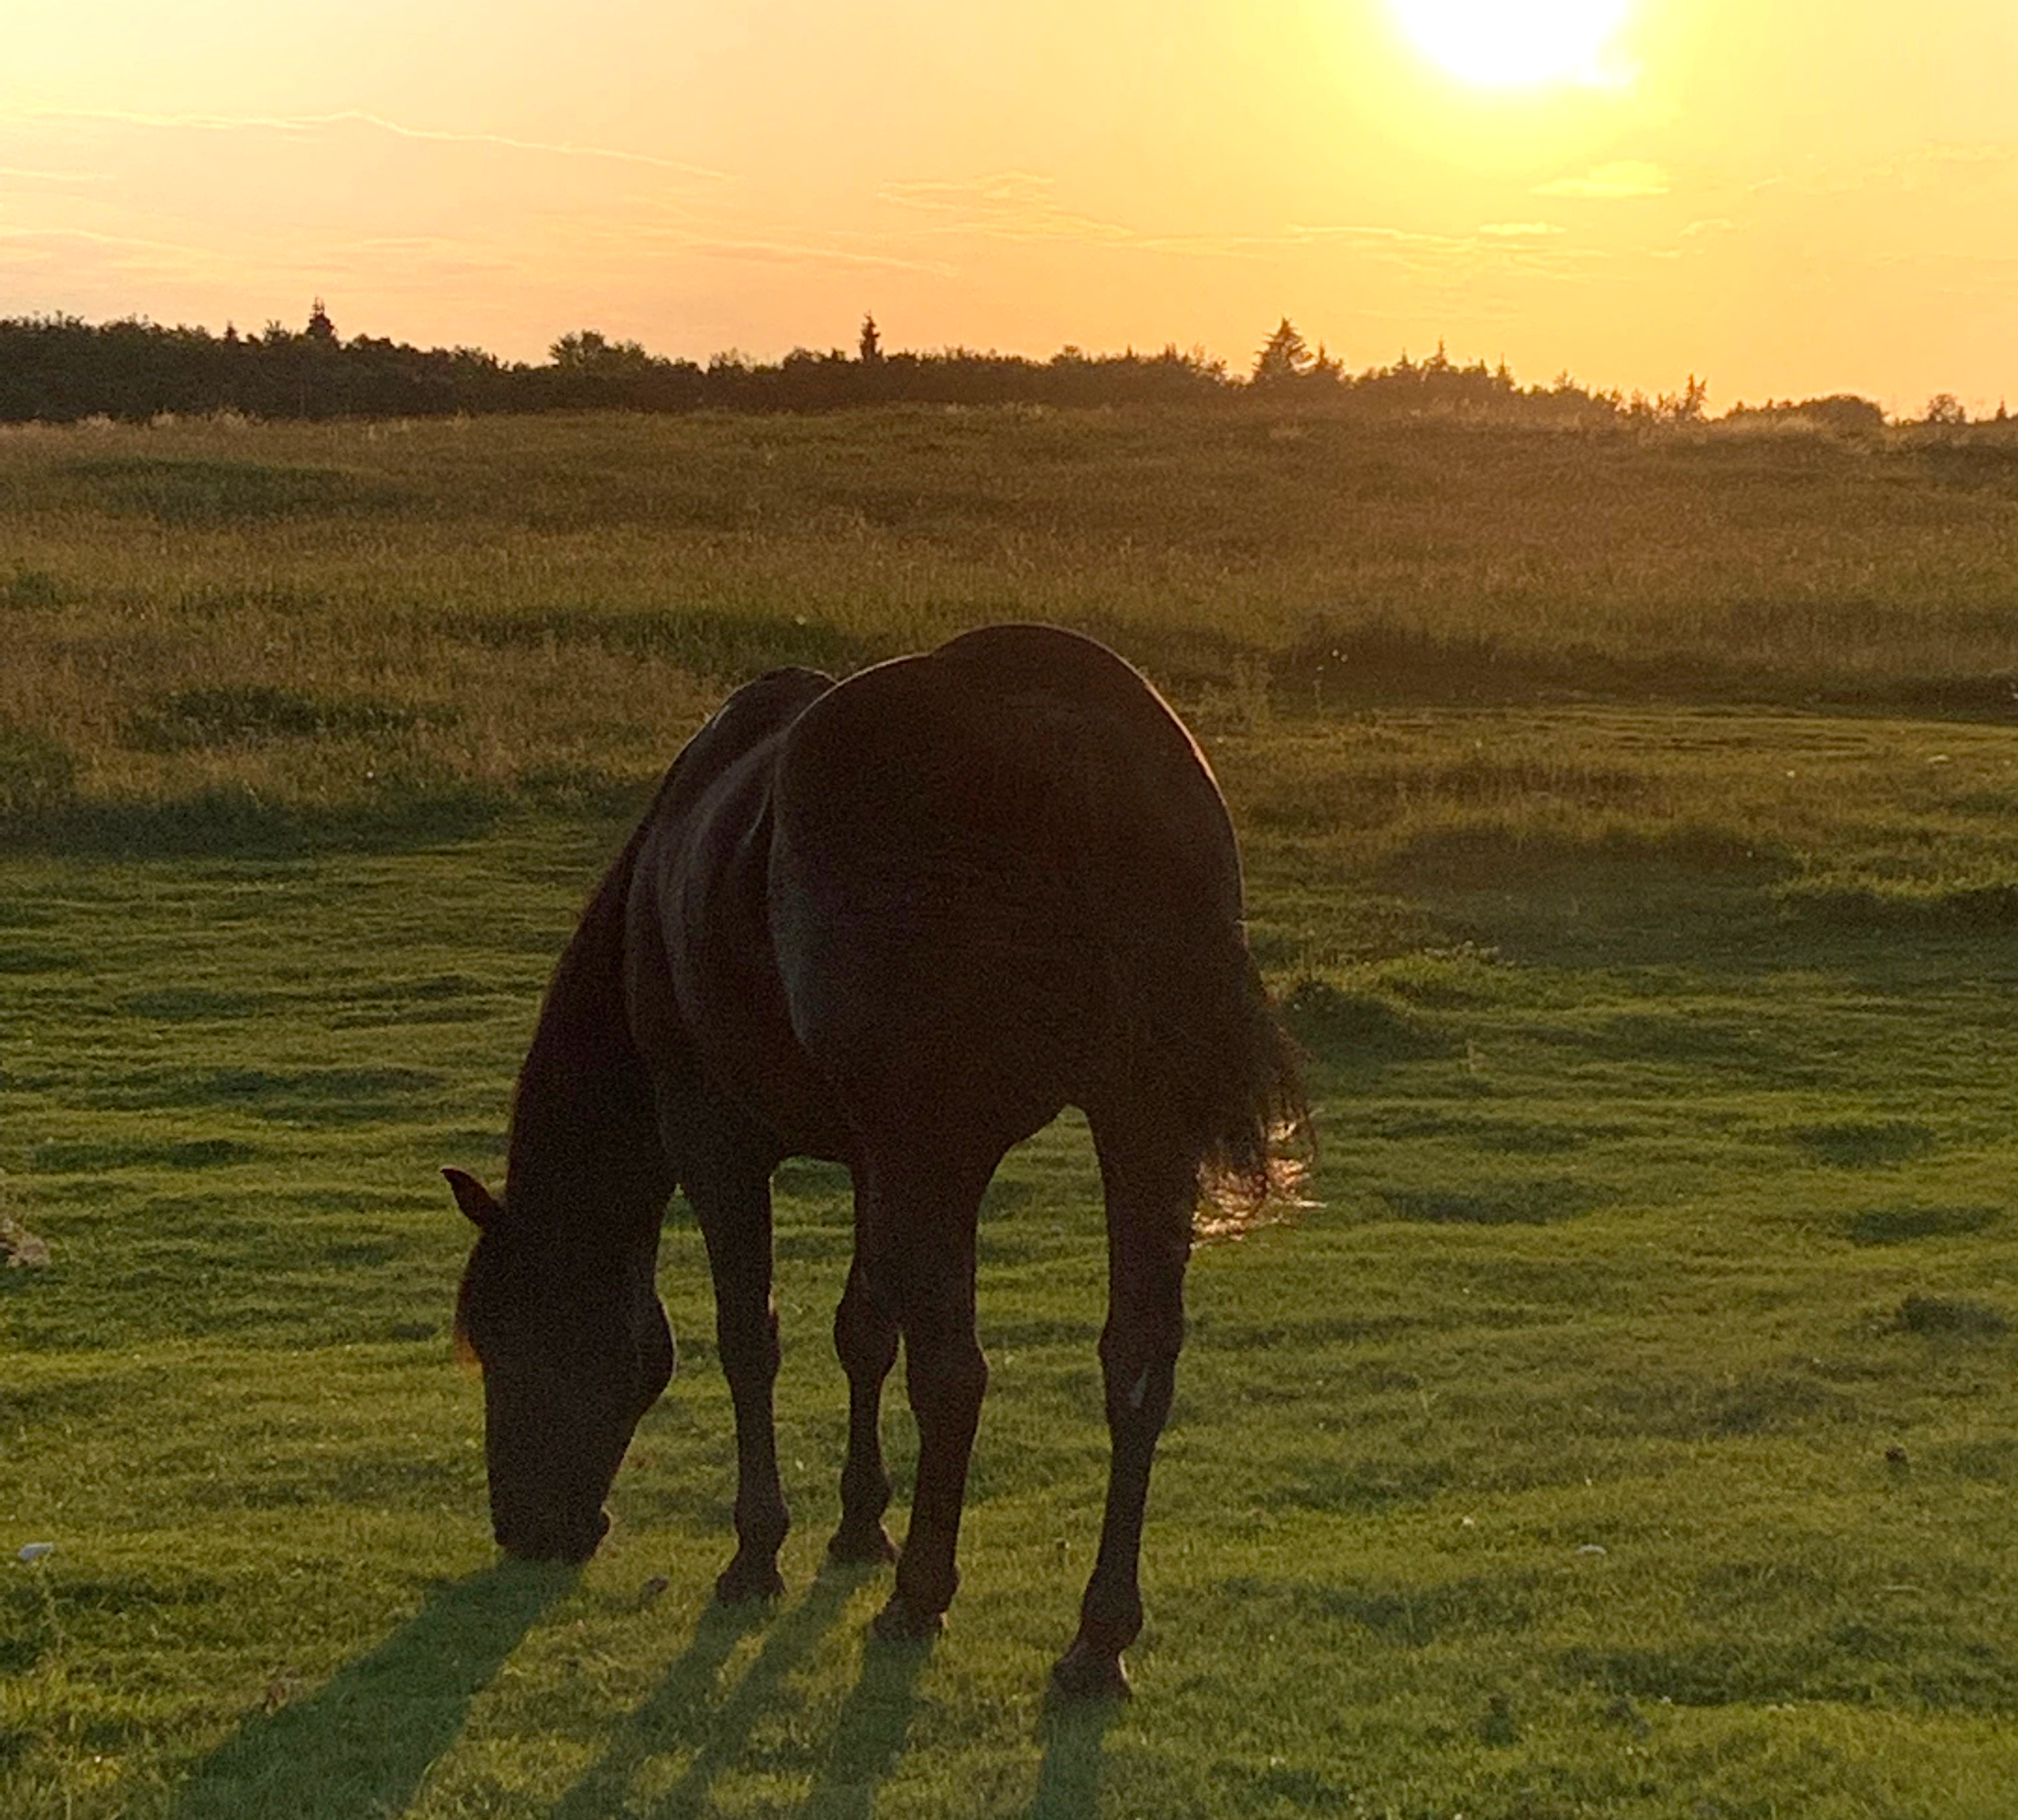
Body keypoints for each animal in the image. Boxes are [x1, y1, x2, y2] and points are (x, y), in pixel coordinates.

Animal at [445, 622, 1304, 1699]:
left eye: (505, 1336)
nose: (522, 1528)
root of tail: (1068, 725)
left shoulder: (719, 1141)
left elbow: (752, 1340)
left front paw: (758, 1550)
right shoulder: (873, 1158)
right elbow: (864, 1330)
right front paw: (859, 1523)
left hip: (945, 1151)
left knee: (957, 1372)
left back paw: (922, 1598)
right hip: (1135, 1124)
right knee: (1136, 1367)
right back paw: (1097, 1637)